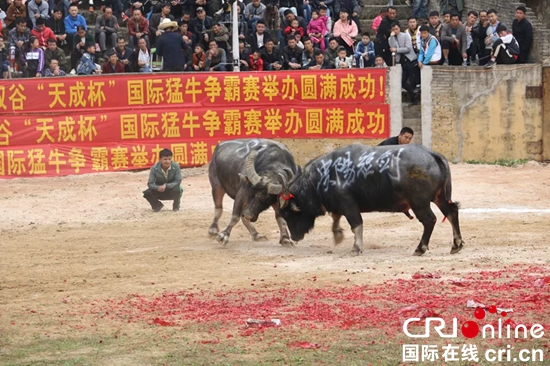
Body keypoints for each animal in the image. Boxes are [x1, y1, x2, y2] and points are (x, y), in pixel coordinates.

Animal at [280, 142, 466, 254]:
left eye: (288, 213)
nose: (294, 237)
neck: (323, 176)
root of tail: (431, 153)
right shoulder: (339, 205)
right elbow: (336, 219)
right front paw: (338, 235)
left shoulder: (349, 205)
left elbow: (356, 224)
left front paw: (356, 247)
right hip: (439, 198)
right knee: (451, 212)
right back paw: (456, 244)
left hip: (419, 203)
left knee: (429, 220)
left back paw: (420, 248)